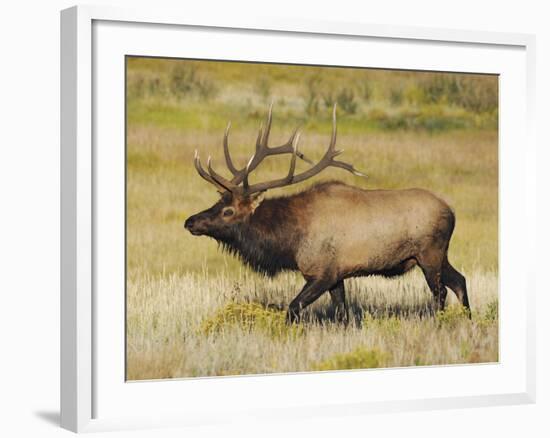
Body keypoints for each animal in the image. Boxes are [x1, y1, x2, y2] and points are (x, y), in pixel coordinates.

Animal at [184, 104, 470, 324]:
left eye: (228, 210)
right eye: (217, 201)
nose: (190, 221)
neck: (290, 241)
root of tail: (452, 212)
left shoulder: (322, 272)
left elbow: (293, 308)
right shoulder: (337, 275)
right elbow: (343, 314)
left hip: (429, 254)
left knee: (441, 292)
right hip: (439, 255)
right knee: (460, 281)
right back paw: (468, 321)